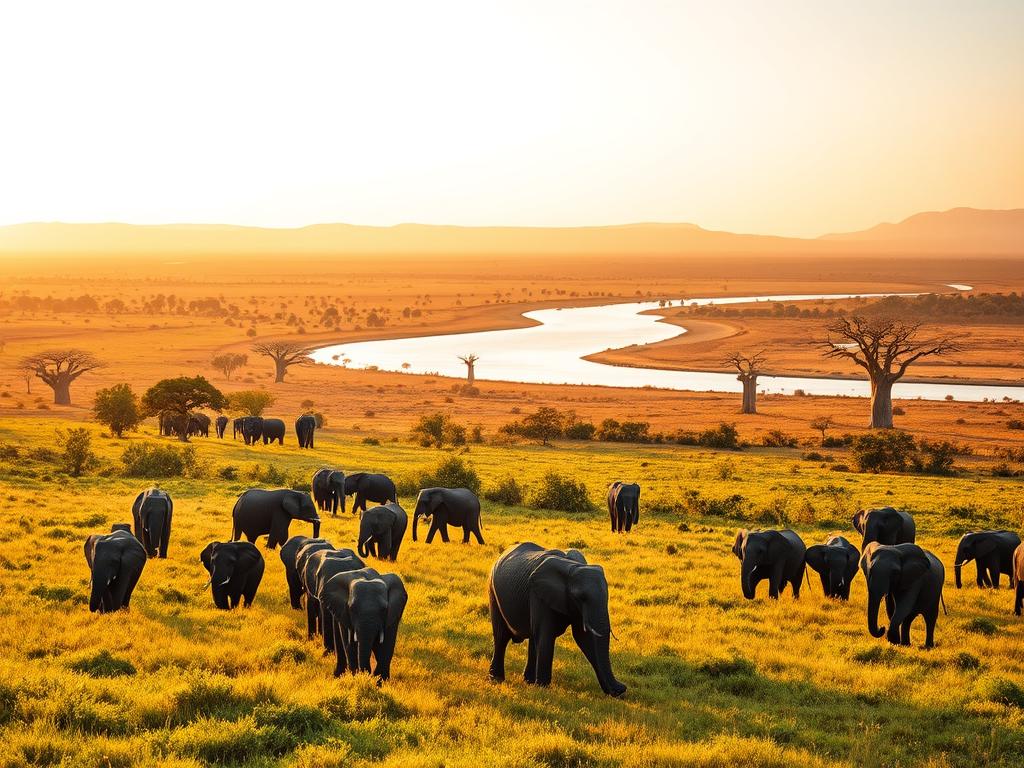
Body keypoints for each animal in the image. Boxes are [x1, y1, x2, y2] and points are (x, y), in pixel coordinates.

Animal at [488, 543, 626, 696]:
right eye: (580, 597)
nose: (622, 689)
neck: (572, 567)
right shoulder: (538, 594)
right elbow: (546, 635)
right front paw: (542, 688)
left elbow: (584, 638)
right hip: (493, 591)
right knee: (501, 636)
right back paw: (497, 679)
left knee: (533, 637)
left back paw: (528, 681)